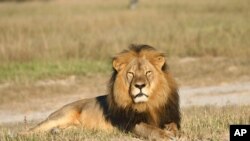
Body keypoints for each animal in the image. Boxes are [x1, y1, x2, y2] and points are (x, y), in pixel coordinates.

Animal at [21, 44, 181, 140]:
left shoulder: (168, 116)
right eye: (131, 74)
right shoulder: (130, 124)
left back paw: (57, 132)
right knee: (30, 130)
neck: (149, 104)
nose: (140, 85)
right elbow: (149, 129)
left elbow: (174, 126)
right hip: (60, 116)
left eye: (148, 72)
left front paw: (173, 131)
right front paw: (166, 135)